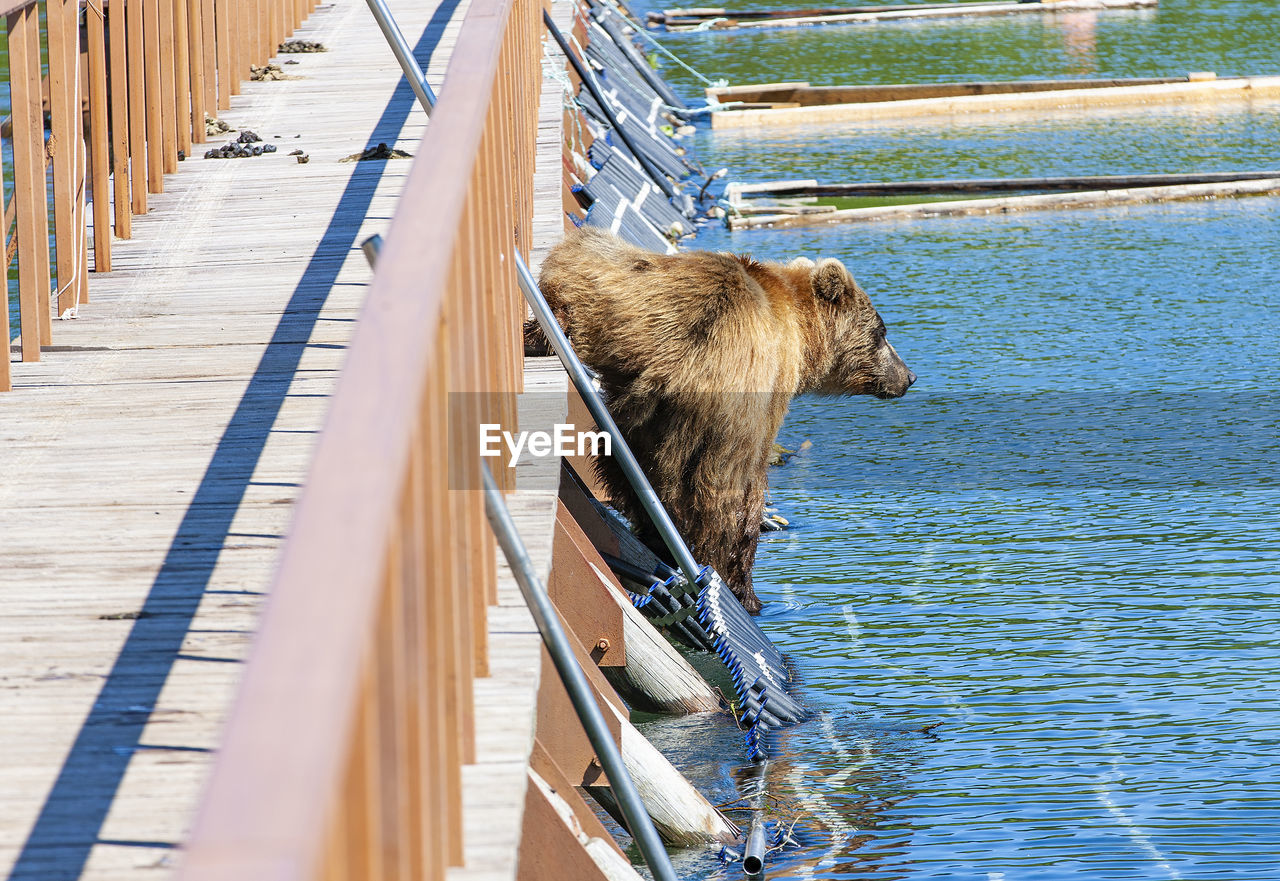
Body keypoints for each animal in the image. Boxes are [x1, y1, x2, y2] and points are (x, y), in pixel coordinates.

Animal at [524, 226, 916, 612]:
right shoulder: (769, 388)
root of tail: (673, 357)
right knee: (722, 489)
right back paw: (739, 586)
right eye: (881, 331)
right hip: (720, 407)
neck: (801, 333)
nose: (908, 376)